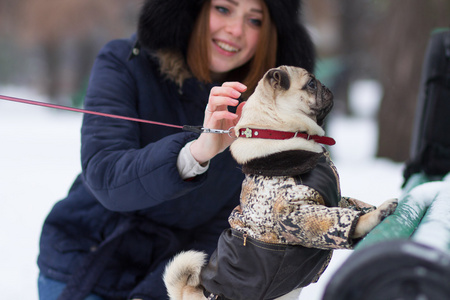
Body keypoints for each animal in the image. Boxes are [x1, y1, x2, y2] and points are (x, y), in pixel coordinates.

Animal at [163, 67, 398, 300]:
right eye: (311, 83)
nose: (326, 86)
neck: (277, 131)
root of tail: (195, 291)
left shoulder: (333, 197)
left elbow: (352, 204)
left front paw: (371, 208)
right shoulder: (293, 210)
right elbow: (340, 220)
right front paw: (378, 213)